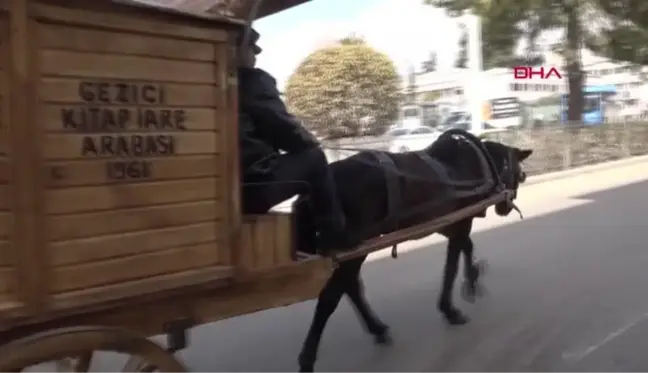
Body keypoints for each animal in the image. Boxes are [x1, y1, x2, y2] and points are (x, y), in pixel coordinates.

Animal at [294, 129, 532, 372]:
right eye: (520, 173)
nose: (505, 207)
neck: (478, 163)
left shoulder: (450, 225)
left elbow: (467, 247)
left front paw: (473, 278)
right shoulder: (461, 222)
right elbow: (451, 267)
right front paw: (450, 308)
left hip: (356, 247)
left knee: (350, 286)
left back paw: (377, 328)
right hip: (354, 245)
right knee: (331, 295)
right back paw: (308, 358)